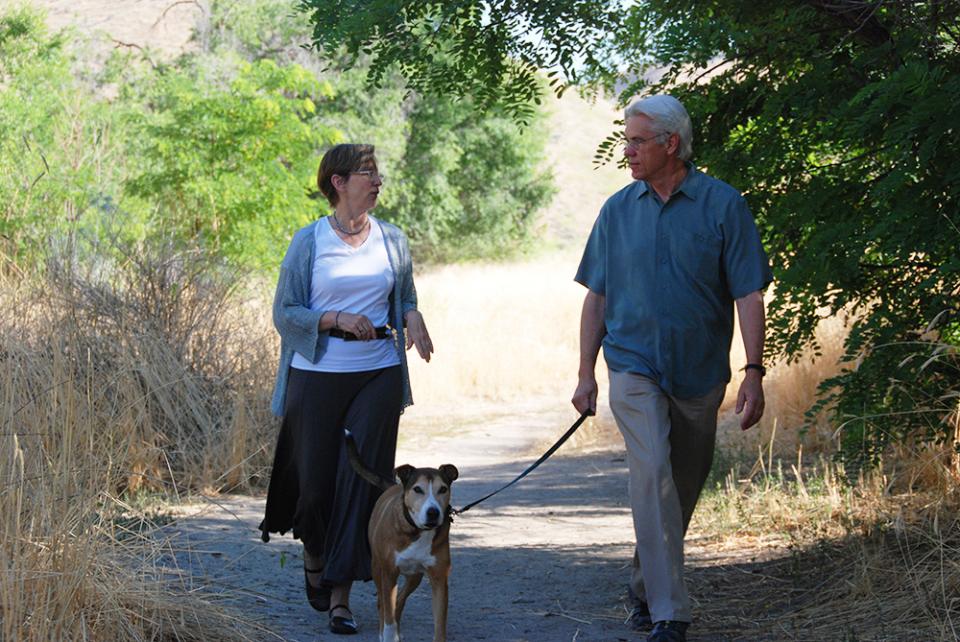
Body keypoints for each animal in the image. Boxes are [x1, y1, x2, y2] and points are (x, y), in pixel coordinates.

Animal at [344, 430, 458, 640]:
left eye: (443, 489)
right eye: (418, 489)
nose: (433, 512)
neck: (417, 531)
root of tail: (394, 485)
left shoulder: (439, 579)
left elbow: (439, 625)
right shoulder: (388, 573)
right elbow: (387, 614)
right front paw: (388, 634)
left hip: (415, 576)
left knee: (400, 599)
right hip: (377, 567)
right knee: (383, 603)